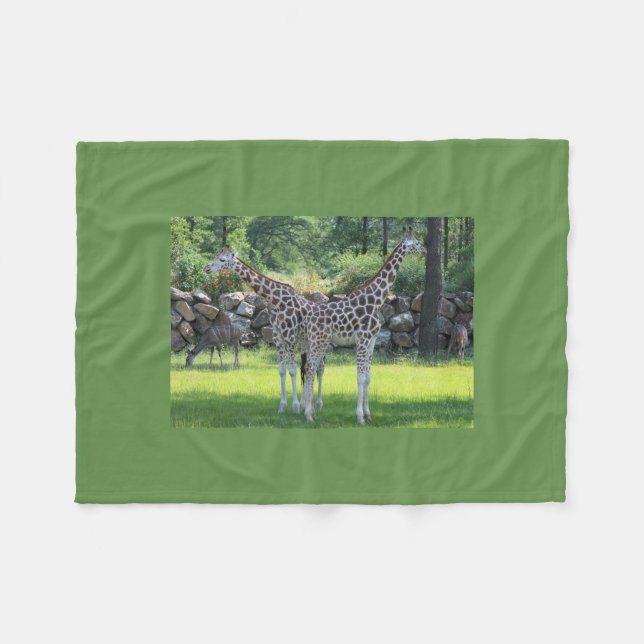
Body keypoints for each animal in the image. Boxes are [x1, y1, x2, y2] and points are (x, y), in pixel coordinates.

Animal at [204, 247, 322, 413]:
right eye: (216, 256)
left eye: (222, 259)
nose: (206, 268)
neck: (277, 300)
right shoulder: (277, 335)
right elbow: (282, 369)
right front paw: (283, 406)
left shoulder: (290, 335)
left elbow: (292, 369)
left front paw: (295, 406)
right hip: (306, 340)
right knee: (309, 366)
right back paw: (307, 403)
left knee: (320, 367)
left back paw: (318, 404)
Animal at [301, 229, 426, 424]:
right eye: (415, 243)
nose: (425, 250)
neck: (376, 300)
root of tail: (308, 319)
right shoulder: (362, 339)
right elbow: (360, 378)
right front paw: (360, 417)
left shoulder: (372, 340)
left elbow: (367, 377)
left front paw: (368, 414)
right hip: (318, 341)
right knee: (310, 369)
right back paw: (308, 415)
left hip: (316, 342)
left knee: (311, 369)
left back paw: (311, 412)